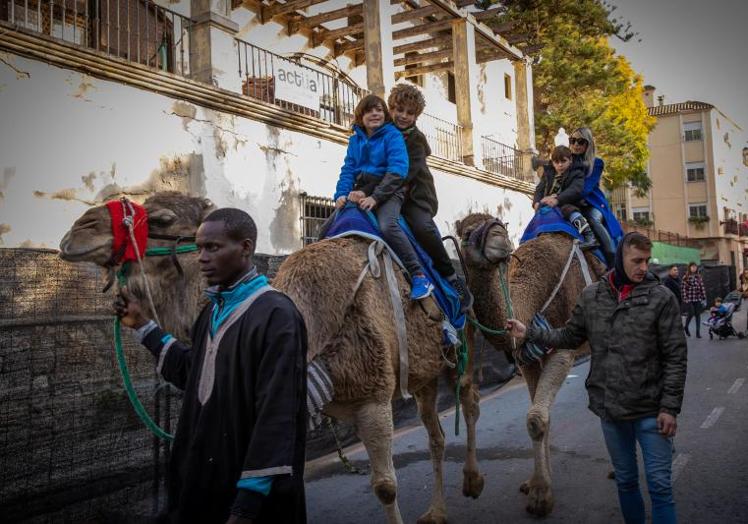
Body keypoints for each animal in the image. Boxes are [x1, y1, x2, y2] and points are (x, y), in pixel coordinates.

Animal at [61, 192, 488, 524]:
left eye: (163, 217)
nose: (77, 230)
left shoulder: (374, 397)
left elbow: (384, 487)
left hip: (460, 346)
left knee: (469, 400)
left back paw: (475, 481)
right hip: (423, 372)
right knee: (435, 435)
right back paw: (437, 511)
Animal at [456, 212, 608, 516]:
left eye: (500, 225)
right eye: (466, 232)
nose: (499, 239)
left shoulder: (563, 347)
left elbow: (536, 419)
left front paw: (540, 496)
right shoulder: (527, 359)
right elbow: (542, 416)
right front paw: (535, 484)